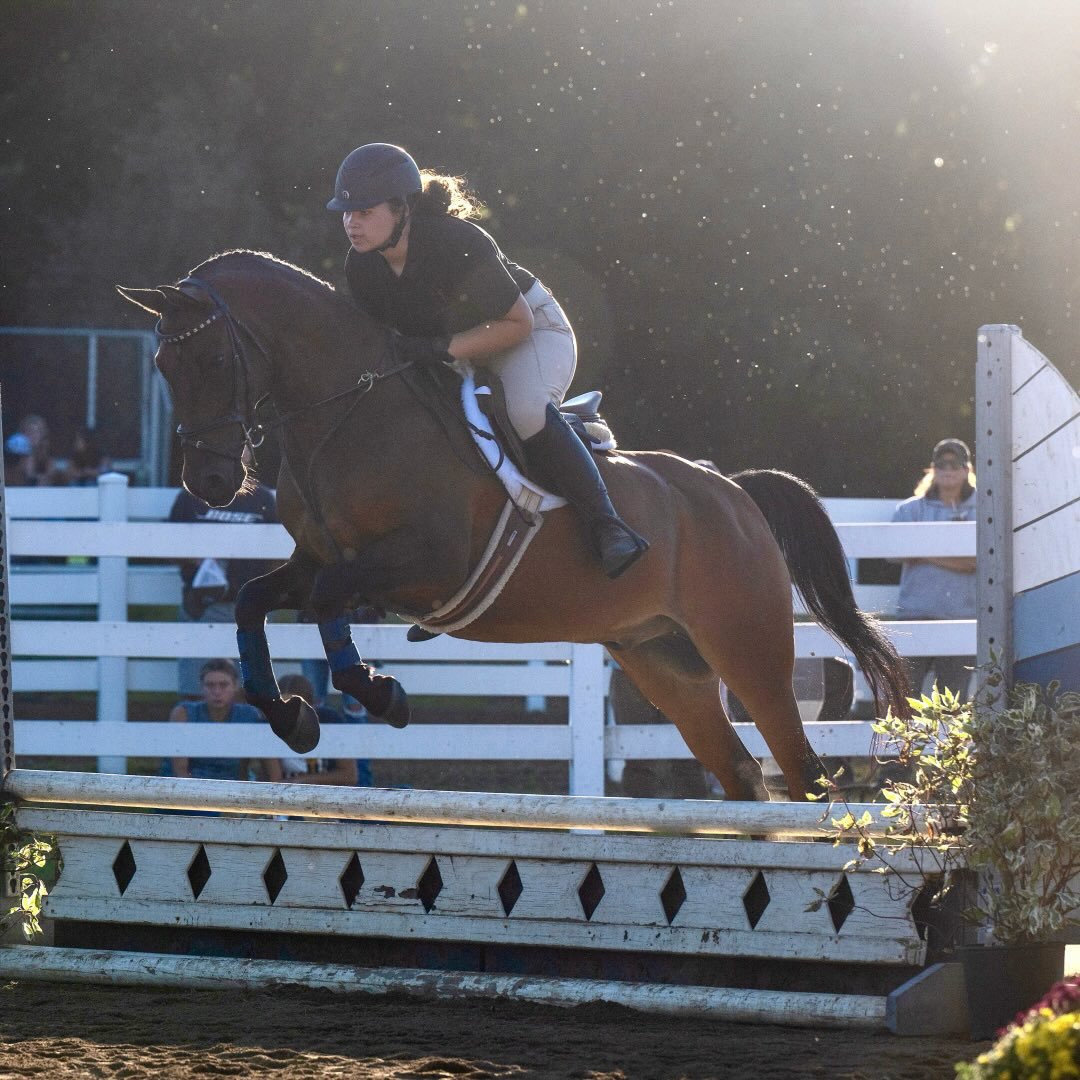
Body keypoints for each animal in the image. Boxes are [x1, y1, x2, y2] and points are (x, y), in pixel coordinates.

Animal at [118, 249, 909, 802]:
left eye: (212, 356)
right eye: (160, 362)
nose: (209, 483)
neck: (349, 413)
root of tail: (735, 493)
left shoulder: (426, 560)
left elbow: (326, 601)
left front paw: (377, 692)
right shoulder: (318, 557)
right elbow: (257, 600)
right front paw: (291, 715)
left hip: (748, 649)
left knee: (802, 770)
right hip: (664, 661)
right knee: (743, 773)